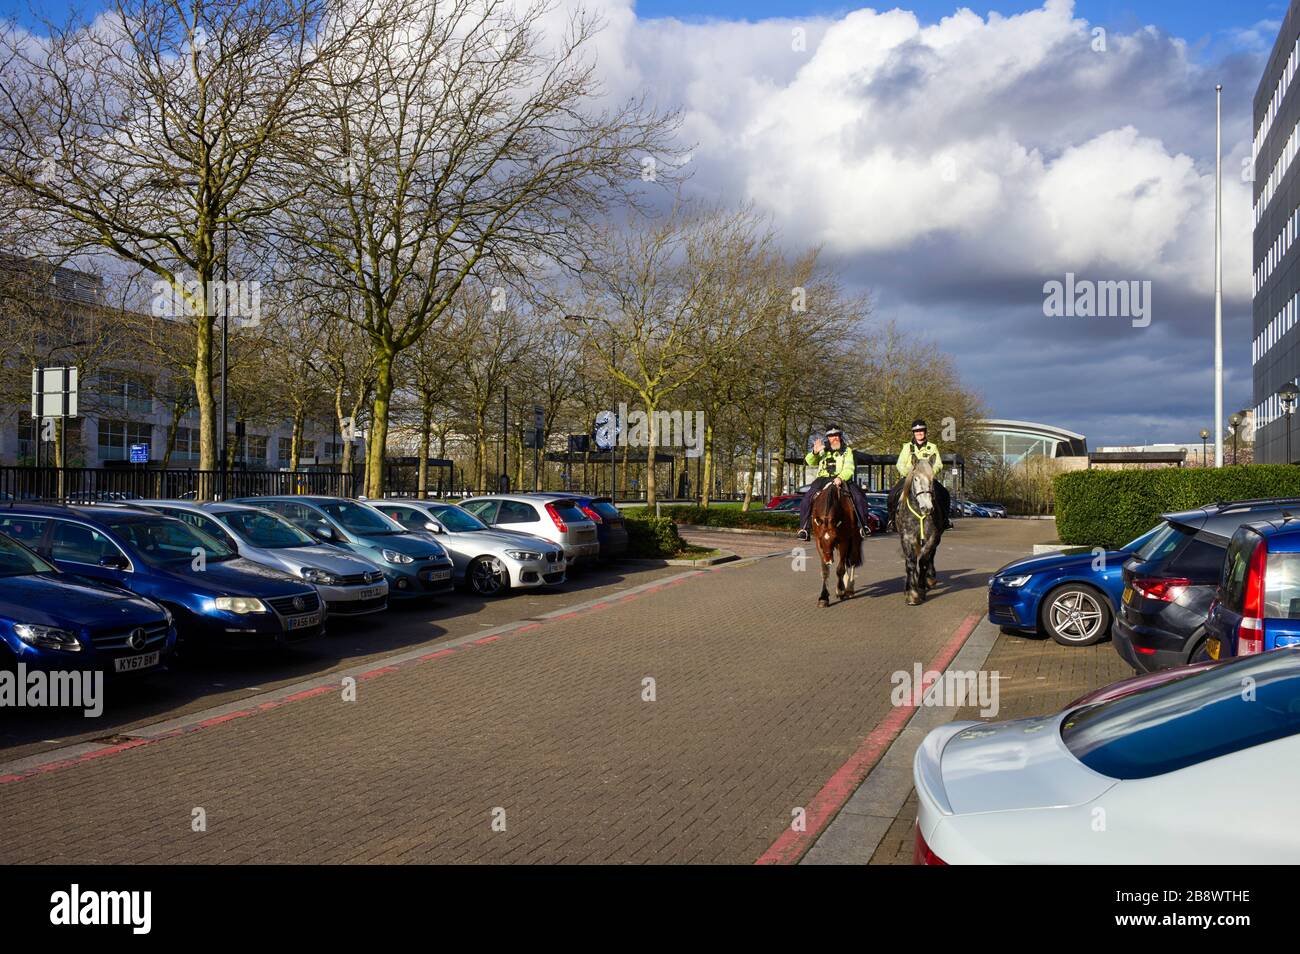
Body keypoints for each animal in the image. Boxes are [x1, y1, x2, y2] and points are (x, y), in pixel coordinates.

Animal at [811, 480, 863, 608]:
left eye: (834, 538)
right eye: (821, 539)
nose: (829, 560)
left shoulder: (843, 540)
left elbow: (840, 569)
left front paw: (840, 590)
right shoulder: (818, 542)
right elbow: (825, 571)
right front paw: (823, 597)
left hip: (855, 540)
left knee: (852, 562)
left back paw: (849, 589)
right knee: (844, 561)